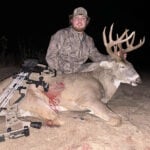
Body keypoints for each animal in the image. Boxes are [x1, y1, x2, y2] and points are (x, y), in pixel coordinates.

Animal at [0, 23, 145, 126]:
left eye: (132, 65)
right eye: (122, 66)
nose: (139, 80)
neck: (102, 84)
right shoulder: (88, 98)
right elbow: (116, 119)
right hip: (31, 98)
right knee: (54, 117)